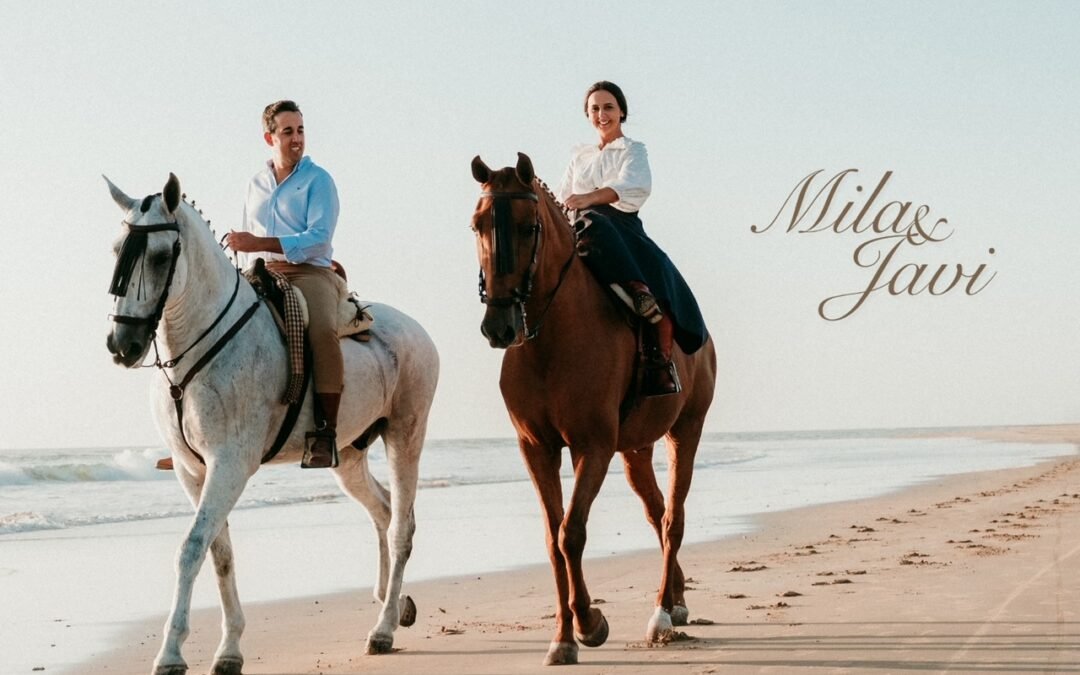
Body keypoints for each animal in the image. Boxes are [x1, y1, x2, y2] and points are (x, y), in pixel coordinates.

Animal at [103, 173, 436, 673]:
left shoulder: (229, 465)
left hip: (405, 435)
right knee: (382, 510)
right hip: (348, 455)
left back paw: (383, 630)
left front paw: (172, 652)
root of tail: (417, 330)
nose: (122, 344)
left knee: (400, 527)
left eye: (161, 257)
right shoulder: (191, 470)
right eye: (117, 250)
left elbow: (192, 548)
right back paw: (392, 607)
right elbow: (219, 553)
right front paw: (229, 649)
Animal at [466, 152, 712, 665]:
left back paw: (661, 614)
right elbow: (552, 538)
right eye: (477, 225)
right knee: (656, 513)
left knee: (673, 519)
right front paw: (562, 637)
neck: (550, 339)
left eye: (528, 227)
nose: (499, 327)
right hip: (635, 450)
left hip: (686, 430)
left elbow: (570, 532)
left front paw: (589, 625)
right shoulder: (536, 449)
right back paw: (676, 600)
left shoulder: (591, 447)